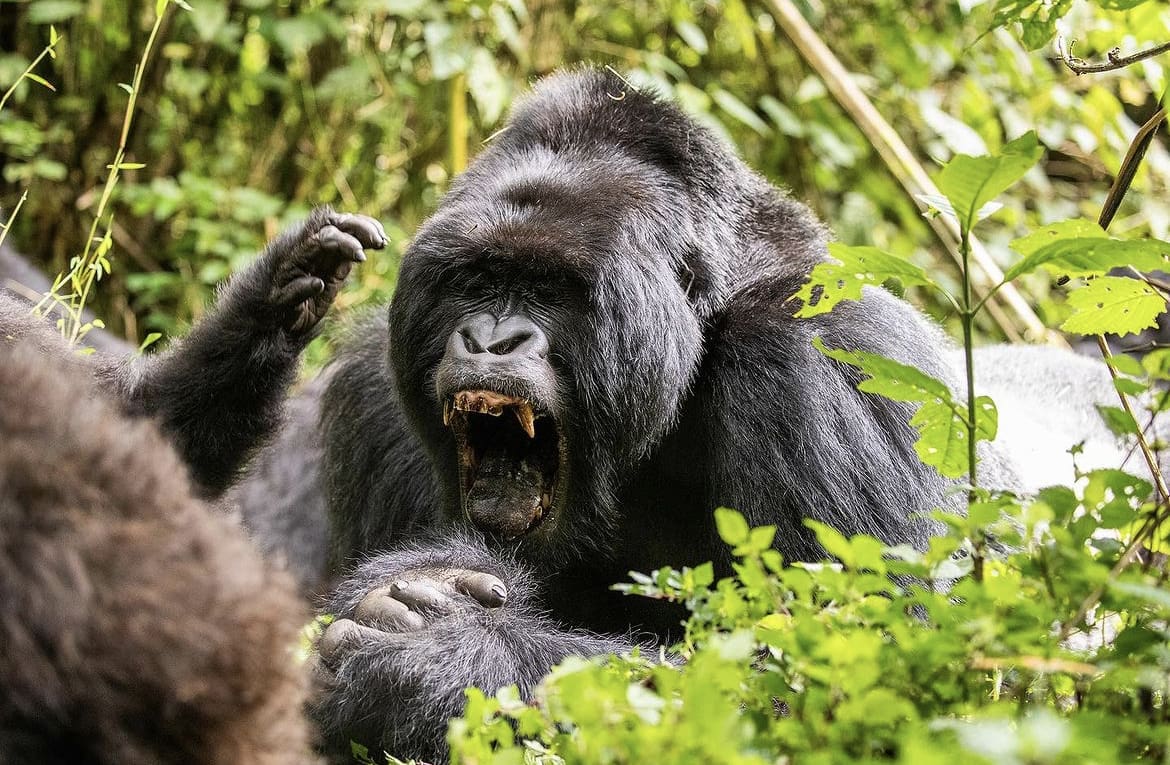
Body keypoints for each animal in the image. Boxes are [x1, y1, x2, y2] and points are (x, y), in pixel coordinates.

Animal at [301, 70, 1141, 762]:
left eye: (550, 288)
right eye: (474, 279)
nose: (489, 339)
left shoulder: (818, 357)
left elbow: (865, 682)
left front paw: (444, 659)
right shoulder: (373, 396)